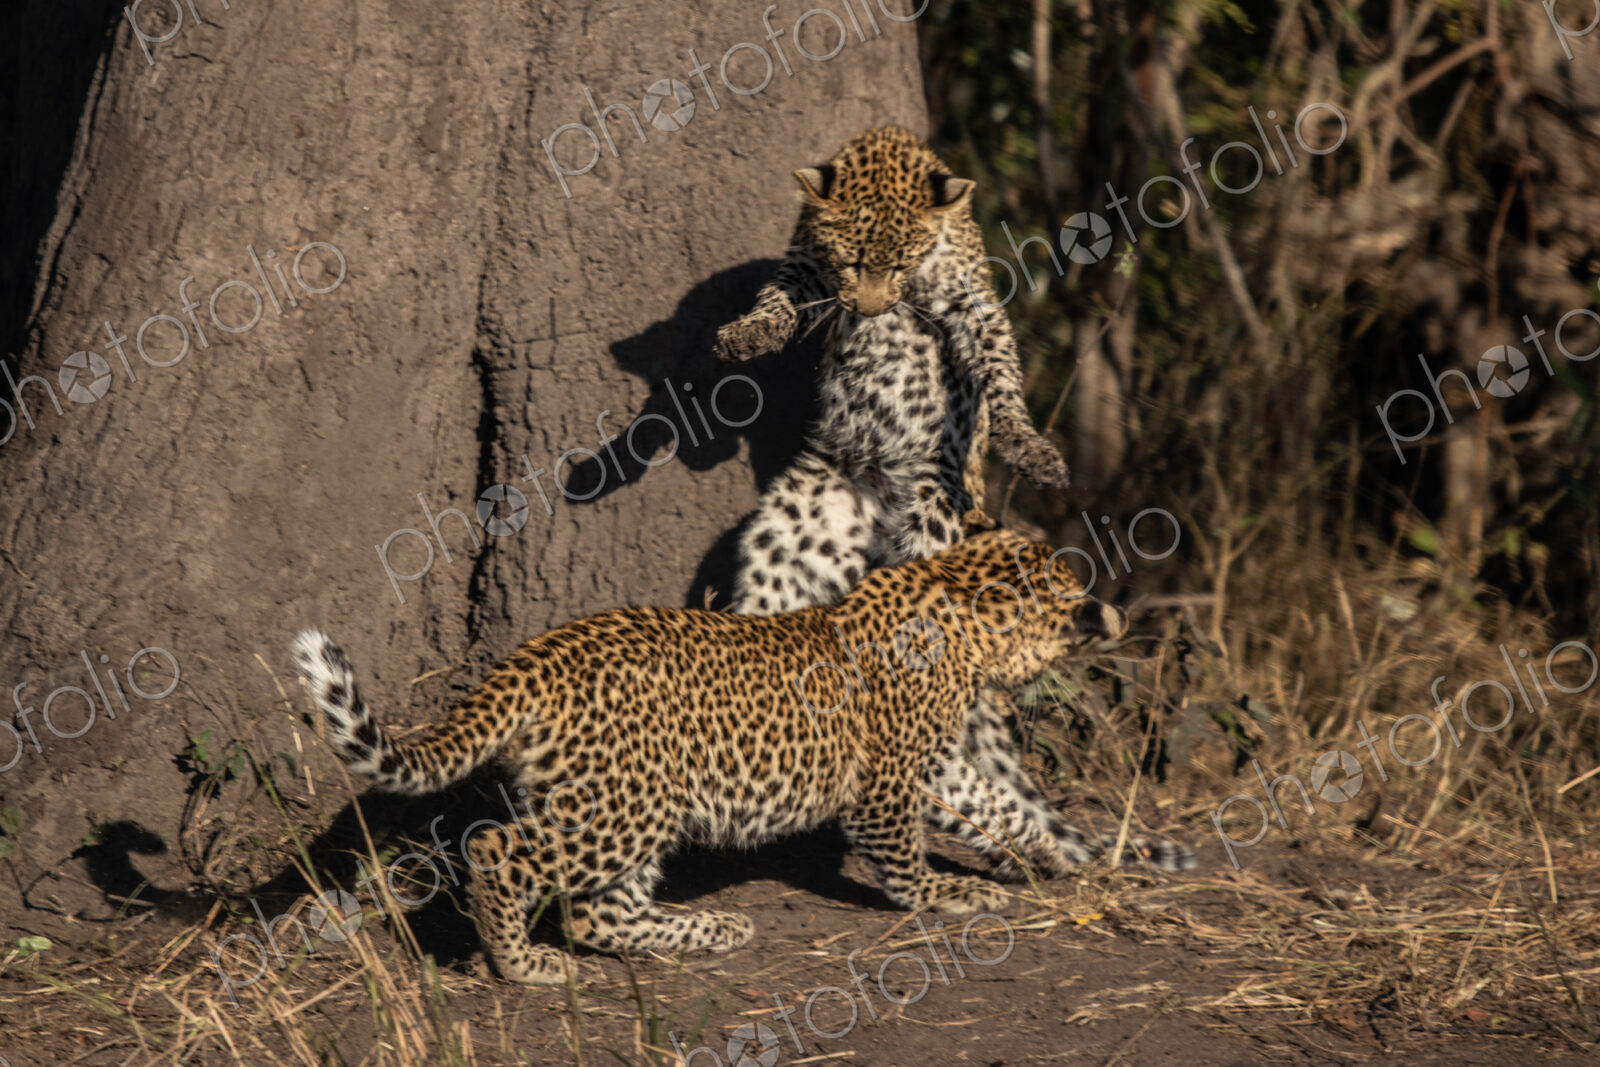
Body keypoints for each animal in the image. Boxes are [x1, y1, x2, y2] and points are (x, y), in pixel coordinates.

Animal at [291, 529, 1134, 984]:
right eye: (1067, 593)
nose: (1111, 612)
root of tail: (536, 657)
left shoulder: (936, 765)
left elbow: (996, 805)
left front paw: (1059, 851)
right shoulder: (886, 784)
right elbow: (903, 858)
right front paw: (949, 894)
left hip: (624, 803)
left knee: (598, 911)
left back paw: (708, 929)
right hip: (621, 806)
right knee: (503, 854)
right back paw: (523, 965)